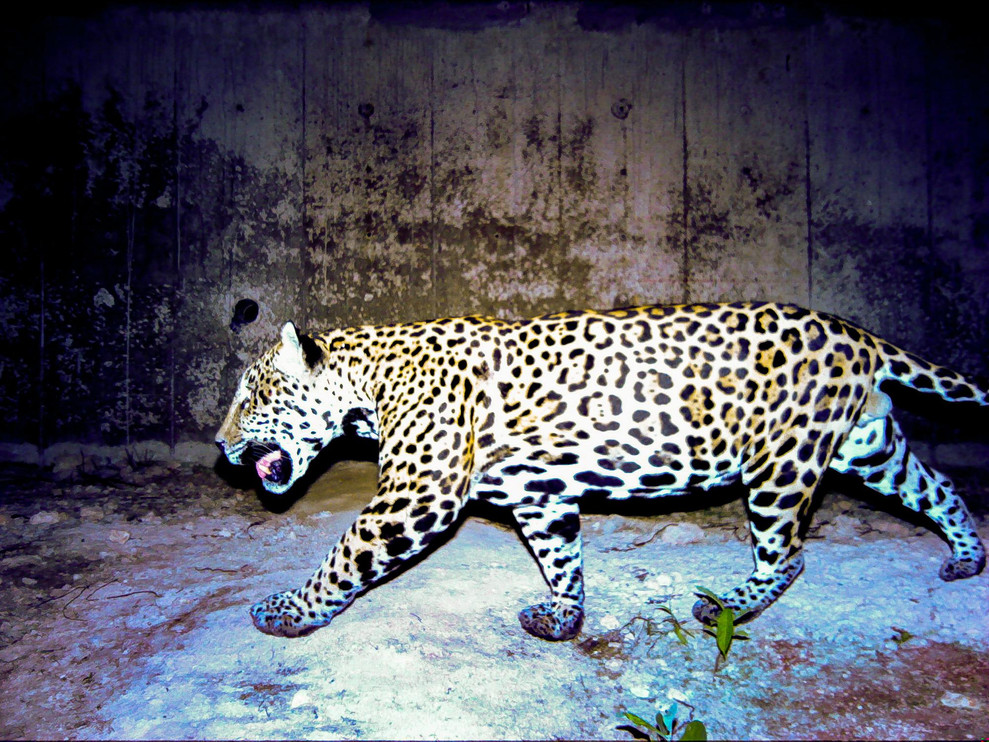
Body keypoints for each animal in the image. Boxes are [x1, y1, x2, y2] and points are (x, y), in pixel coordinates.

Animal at [215, 302, 987, 640]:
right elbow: (561, 557)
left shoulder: (417, 495)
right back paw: (966, 557)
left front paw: (288, 611)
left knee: (789, 556)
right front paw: (563, 615)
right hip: (865, 446)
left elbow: (344, 558)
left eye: (252, 394)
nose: (220, 446)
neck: (370, 382)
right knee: (939, 487)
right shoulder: (538, 494)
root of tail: (856, 333)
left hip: (780, 464)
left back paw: (725, 606)